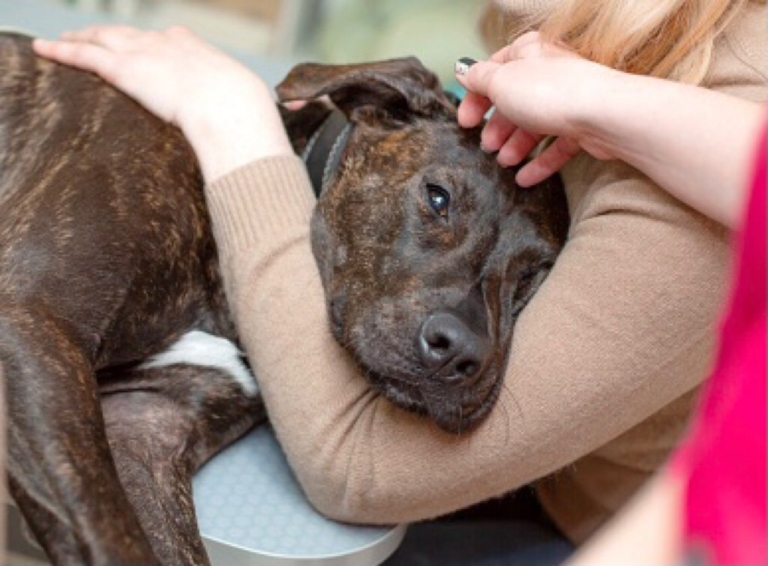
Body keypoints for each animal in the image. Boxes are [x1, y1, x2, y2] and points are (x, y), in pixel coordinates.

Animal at [0, 34, 568, 566]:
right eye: (437, 197)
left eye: (534, 275)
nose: (461, 352)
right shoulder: (32, 318)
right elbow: (112, 535)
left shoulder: (144, 429)